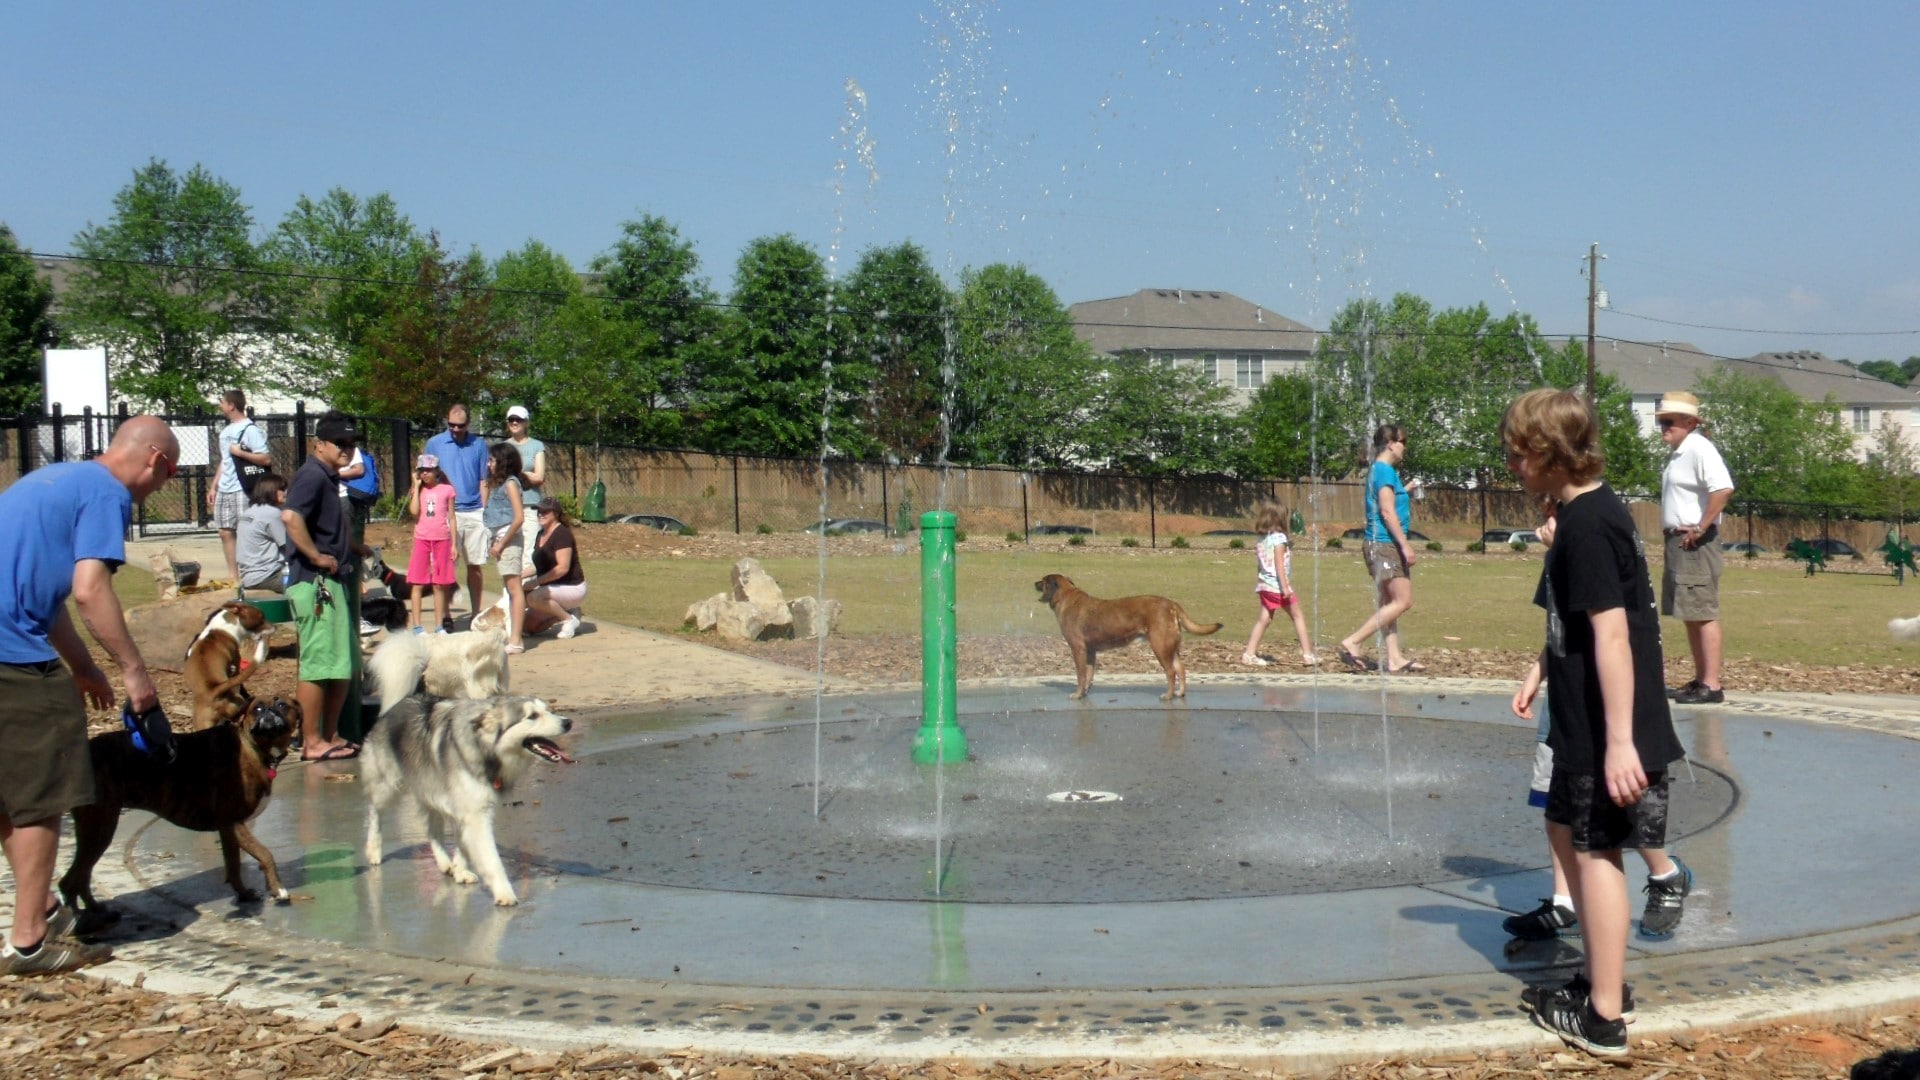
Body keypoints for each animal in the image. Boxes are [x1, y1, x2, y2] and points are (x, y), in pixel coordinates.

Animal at [60, 691, 299, 922]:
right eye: (257, 708)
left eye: (283, 705)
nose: (268, 711)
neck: (254, 748)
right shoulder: (234, 823)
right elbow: (265, 854)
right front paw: (278, 889)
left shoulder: (228, 831)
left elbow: (234, 866)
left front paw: (245, 895)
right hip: (99, 829)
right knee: (70, 880)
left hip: (95, 830)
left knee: (80, 877)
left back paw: (96, 911)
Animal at [1044, 572, 1221, 699]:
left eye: (1043, 581)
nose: (1037, 583)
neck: (1066, 597)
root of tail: (1172, 604)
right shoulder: (1090, 651)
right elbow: (1089, 674)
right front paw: (1084, 693)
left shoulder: (1078, 649)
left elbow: (1080, 675)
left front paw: (1077, 694)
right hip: (1171, 648)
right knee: (1181, 669)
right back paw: (1180, 693)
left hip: (1160, 646)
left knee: (1171, 672)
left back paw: (1168, 696)